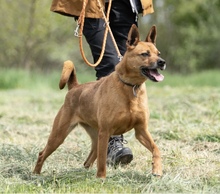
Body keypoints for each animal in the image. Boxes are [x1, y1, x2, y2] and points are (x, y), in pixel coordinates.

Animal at [33, 25, 166, 178]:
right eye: (145, 54)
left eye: (158, 53)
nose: (162, 62)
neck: (130, 87)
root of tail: (75, 87)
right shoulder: (106, 132)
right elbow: (102, 161)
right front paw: (101, 178)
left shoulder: (141, 130)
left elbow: (156, 149)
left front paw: (157, 169)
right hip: (59, 135)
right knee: (42, 154)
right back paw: (35, 174)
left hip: (95, 136)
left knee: (88, 159)